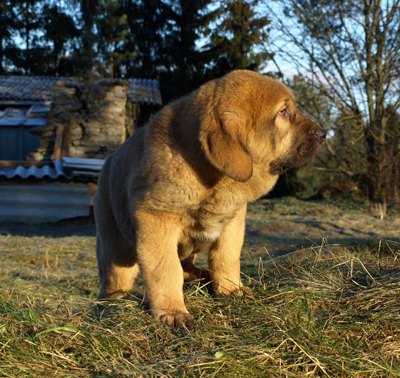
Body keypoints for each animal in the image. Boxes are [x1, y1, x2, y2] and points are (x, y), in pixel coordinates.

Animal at [94, 70, 324, 328]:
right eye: (283, 112)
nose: (323, 134)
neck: (210, 177)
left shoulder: (233, 220)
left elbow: (226, 257)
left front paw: (231, 290)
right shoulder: (155, 218)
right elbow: (165, 269)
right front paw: (172, 311)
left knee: (187, 264)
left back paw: (201, 277)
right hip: (114, 245)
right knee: (116, 278)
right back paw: (111, 306)